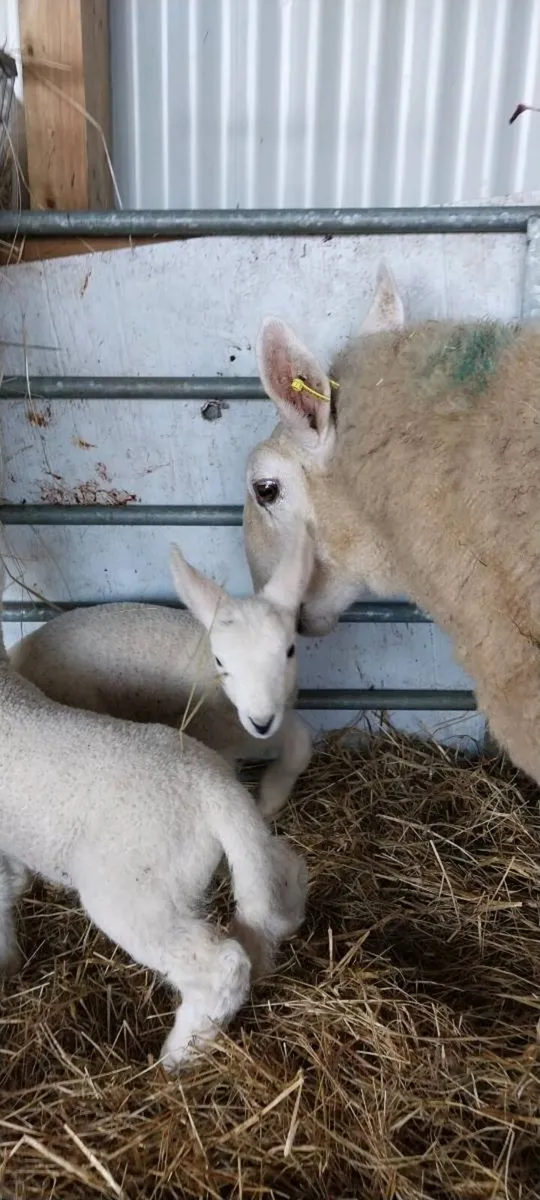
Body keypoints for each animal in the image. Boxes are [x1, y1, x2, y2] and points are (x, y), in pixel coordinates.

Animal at [0, 573, 308, 1071]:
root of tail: (213, 789)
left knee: (220, 966)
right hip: (240, 852)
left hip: (134, 892)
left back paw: (177, 1056)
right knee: (282, 876)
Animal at [10, 530, 314, 820]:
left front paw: (270, 797)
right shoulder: (218, 736)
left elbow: (301, 746)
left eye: (290, 651)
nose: (261, 722)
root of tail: (21, 648)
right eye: (219, 661)